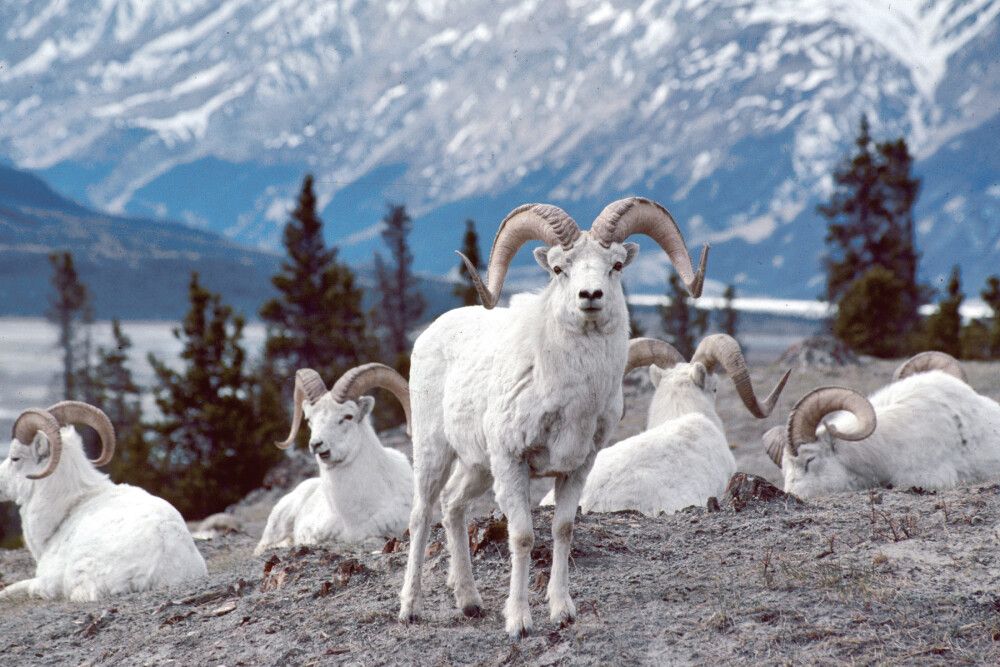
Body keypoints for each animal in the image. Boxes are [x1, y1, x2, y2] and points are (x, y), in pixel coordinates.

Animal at [398, 194, 712, 636]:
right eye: (560, 268)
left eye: (616, 265)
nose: (590, 295)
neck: (569, 394)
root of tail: (431, 333)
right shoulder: (512, 464)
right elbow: (523, 538)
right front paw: (519, 622)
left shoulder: (575, 469)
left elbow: (563, 531)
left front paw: (562, 612)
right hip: (434, 452)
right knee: (421, 515)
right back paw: (409, 609)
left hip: (478, 467)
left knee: (452, 506)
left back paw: (470, 603)